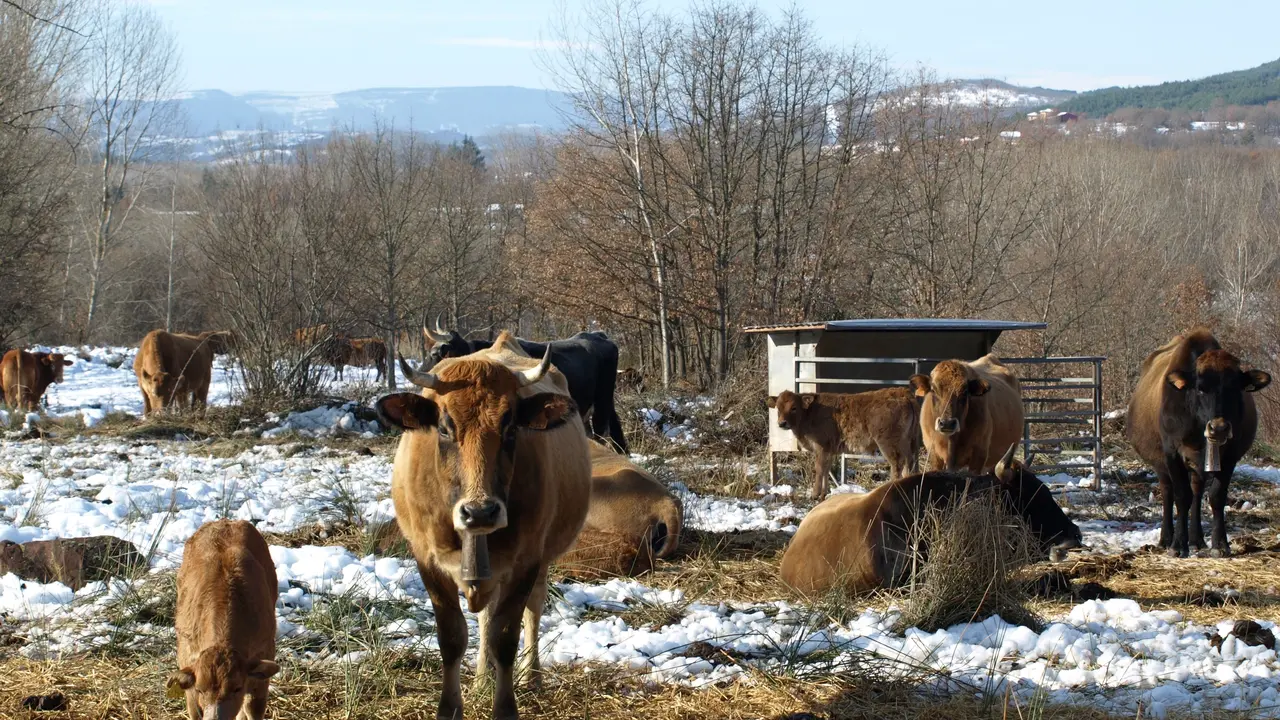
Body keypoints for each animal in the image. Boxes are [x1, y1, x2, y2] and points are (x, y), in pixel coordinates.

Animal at [167, 519, 279, 720]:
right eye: (200, 689)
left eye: (237, 688)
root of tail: (225, 521)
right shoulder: (186, 658)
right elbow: (194, 710)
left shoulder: (265, 654)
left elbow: (253, 708)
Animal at [378, 331, 591, 720]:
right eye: (444, 426)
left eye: (510, 426)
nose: (480, 513)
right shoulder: (426, 559)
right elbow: (453, 636)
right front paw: (450, 707)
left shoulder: (526, 559)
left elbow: (505, 636)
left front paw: (505, 707)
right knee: (484, 619)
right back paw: (480, 679)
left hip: (539, 562)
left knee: (532, 610)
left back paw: (531, 675)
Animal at [767, 387, 921, 499]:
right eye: (778, 408)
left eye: (794, 407)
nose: (782, 423)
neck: (810, 413)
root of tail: (904, 393)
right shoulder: (828, 450)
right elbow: (826, 469)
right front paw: (824, 493)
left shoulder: (821, 447)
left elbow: (819, 468)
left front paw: (815, 494)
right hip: (910, 442)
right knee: (910, 463)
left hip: (888, 444)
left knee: (897, 464)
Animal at [1126, 329, 1271, 558]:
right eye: (1201, 388)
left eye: (1235, 388)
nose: (1219, 428)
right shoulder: (1172, 453)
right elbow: (1181, 496)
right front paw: (1178, 545)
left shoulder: (1229, 456)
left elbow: (1216, 496)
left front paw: (1219, 544)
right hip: (1161, 464)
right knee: (1168, 492)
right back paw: (1166, 538)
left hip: (1197, 467)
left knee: (1196, 491)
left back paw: (1196, 540)